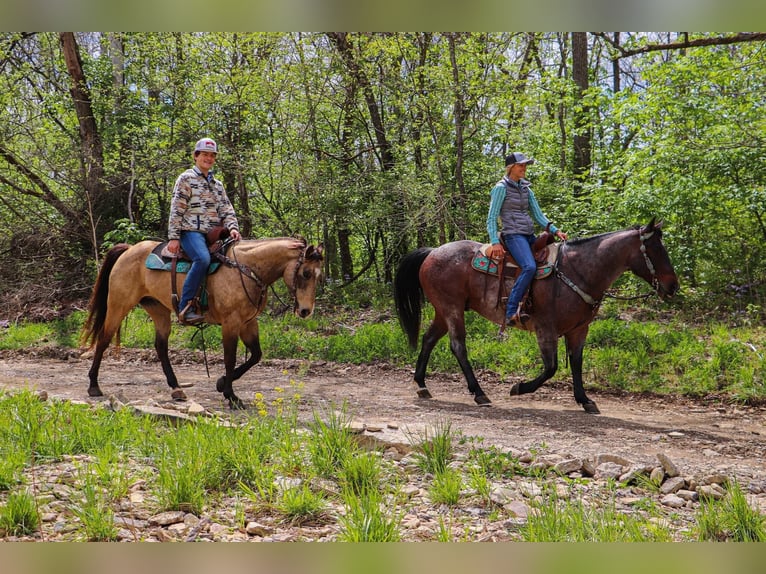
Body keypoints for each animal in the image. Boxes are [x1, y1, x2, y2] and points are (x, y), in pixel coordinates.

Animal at [81, 237, 324, 410]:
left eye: (318, 276)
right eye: (305, 273)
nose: (306, 311)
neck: (247, 269)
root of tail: (129, 249)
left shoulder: (248, 322)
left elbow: (255, 355)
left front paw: (221, 383)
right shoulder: (231, 323)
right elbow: (230, 358)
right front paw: (231, 396)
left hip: (158, 310)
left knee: (160, 346)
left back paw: (176, 388)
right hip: (119, 305)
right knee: (103, 339)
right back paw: (93, 385)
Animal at [396, 220, 680, 414]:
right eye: (655, 250)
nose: (673, 286)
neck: (578, 271)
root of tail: (433, 251)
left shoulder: (579, 330)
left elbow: (576, 363)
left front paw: (585, 400)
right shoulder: (546, 329)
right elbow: (551, 367)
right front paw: (519, 388)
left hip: (443, 311)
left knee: (428, 339)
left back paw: (422, 385)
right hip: (452, 308)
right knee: (458, 347)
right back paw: (479, 393)